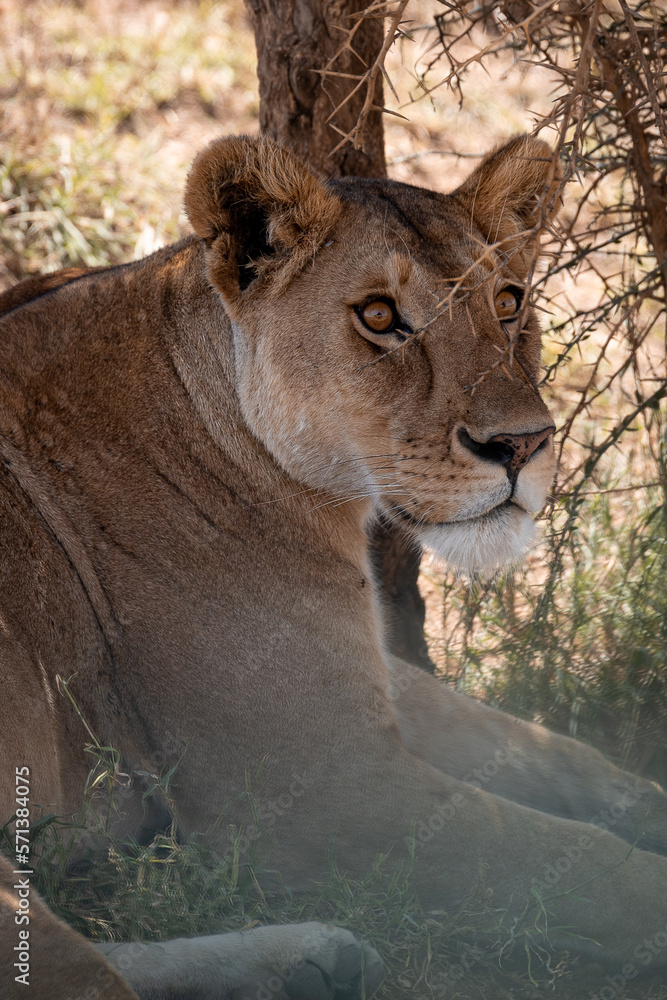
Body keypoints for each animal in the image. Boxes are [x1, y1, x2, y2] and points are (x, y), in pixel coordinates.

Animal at [2, 133, 667, 1000]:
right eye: (379, 318)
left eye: (508, 302)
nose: (522, 445)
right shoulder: (328, 793)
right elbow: (588, 867)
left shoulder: (359, 686)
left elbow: (547, 750)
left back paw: (313, 962)